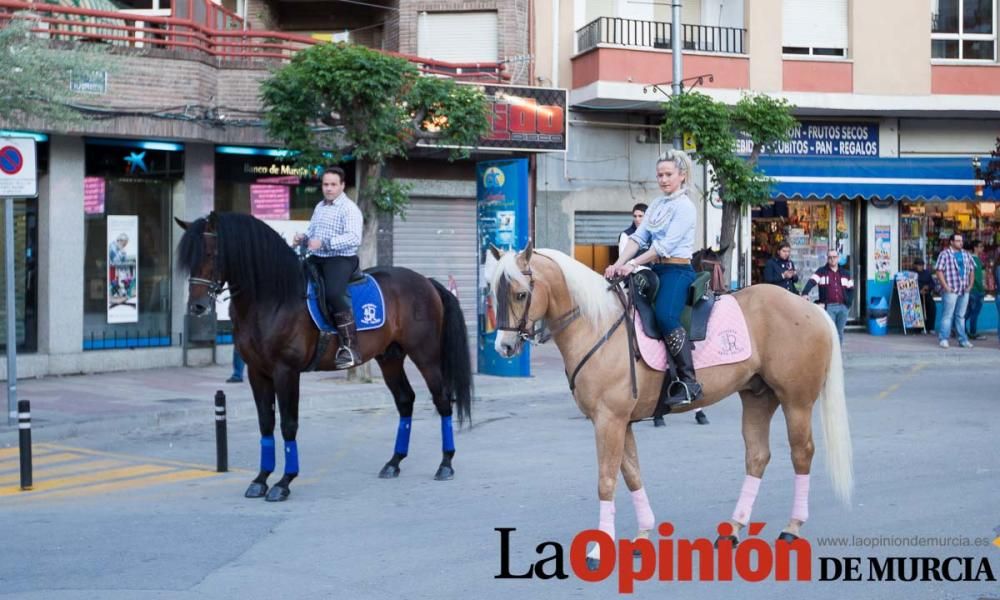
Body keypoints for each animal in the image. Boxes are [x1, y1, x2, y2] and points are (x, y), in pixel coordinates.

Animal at [177, 212, 472, 502]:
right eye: (189, 259)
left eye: (211, 254)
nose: (197, 306)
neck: (273, 298)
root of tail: (426, 282)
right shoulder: (256, 372)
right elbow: (266, 424)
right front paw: (260, 479)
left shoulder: (286, 371)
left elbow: (288, 424)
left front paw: (284, 482)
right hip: (389, 357)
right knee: (405, 400)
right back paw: (394, 462)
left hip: (426, 355)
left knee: (442, 400)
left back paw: (446, 464)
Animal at [488, 241, 848, 564]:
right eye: (493, 291)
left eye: (521, 294)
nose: (503, 347)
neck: (597, 325)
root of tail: (811, 308)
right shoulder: (620, 422)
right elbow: (632, 475)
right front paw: (643, 534)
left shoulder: (609, 421)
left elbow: (606, 481)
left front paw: (597, 549)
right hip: (758, 397)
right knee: (757, 457)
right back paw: (733, 529)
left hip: (796, 401)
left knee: (802, 454)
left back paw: (792, 528)